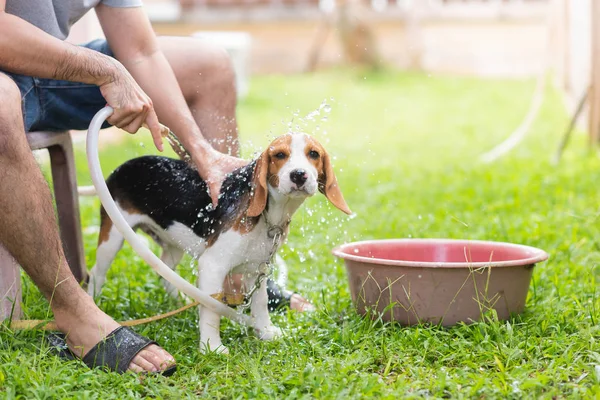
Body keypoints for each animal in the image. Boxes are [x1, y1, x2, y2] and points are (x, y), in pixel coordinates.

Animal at [89, 132, 352, 354]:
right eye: (279, 155)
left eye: (314, 154)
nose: (298, 174)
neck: (269, 216)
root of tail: (122, 167)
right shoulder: (212, 265)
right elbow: (213, 309)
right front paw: (211, 348)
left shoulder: (257, 269)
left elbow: (260, 303)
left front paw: (265, 332)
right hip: (113, 236)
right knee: (96, 273)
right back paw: (95, 304)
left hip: (174, 244)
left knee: (165, 272)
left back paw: (181, 300)